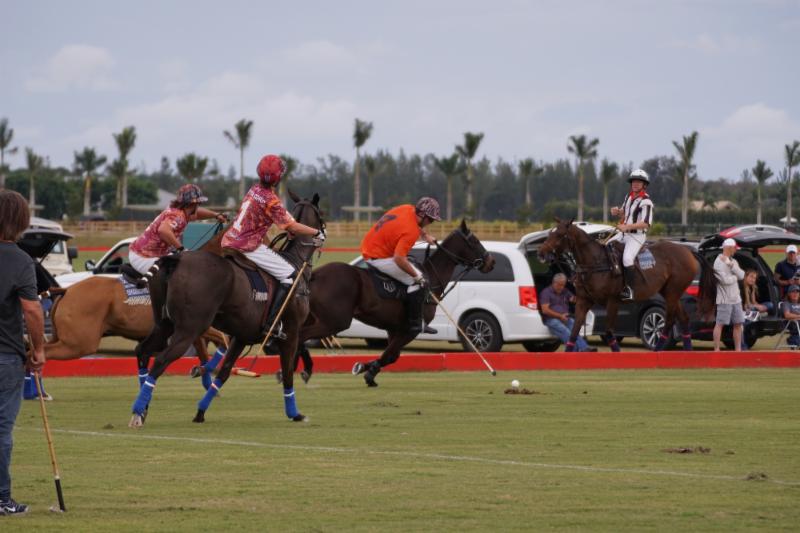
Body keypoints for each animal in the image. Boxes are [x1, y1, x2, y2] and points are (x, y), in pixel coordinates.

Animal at [44, 231, 228, 391]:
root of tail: (66, 290)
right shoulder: (196, 328)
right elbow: (221, 343)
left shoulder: (194, 332)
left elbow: (205, 354)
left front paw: (206, 381)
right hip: (80, 343)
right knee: (44, 353)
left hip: (66, 339)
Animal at [129, 192, 325, 427]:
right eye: (322, 214)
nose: (323, 234)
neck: (296, 264)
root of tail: (175, 259)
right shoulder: (291, 331)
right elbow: (287, 372)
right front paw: (295, 413)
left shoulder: (241, 336)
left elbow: (224, 372)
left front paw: (200, 411)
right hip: (189, 329)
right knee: (160, 361)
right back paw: (138, 412)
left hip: (164, 324)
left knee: (143, 350)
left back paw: (143, 409)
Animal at [296, 219, 495, 387]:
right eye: (475, 241)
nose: (491, 262)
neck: (430, 278)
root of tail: (316, 274)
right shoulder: (410, 329)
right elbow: (389, 354)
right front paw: (367, 371)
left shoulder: (394, 328)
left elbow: (393, 355)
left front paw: (365, 368)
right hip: (336, 321)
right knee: (302, 335)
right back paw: (302, 369)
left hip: (315, 317)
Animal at [537, 218, 717, 352]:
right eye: (551, 232)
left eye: (560, 235)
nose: (541, 253)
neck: (595, 263)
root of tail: (689, 251)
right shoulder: (583, 301)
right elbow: (573, 333)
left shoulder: (612, 301)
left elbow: (609, 332)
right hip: (671, 293)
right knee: (684, 319)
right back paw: (687, 350)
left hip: (672, 293)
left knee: (669, 322)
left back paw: (658, 350)